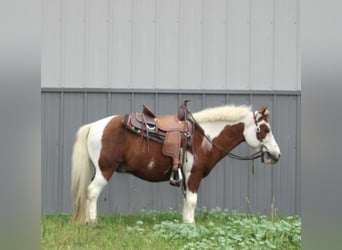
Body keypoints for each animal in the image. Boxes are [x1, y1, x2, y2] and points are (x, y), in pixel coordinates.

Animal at [70, 103, 280, 223]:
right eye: (266, 130)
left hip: (98, 170)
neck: (203, 137)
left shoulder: (186, 177)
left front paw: (186, 224)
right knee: (92, 192)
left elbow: (186, 200)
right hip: (106, 169)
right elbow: (193, 201)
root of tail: (94, 126)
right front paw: (191, 225)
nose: (277, 155)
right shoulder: (194, 175)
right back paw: (93, 222)